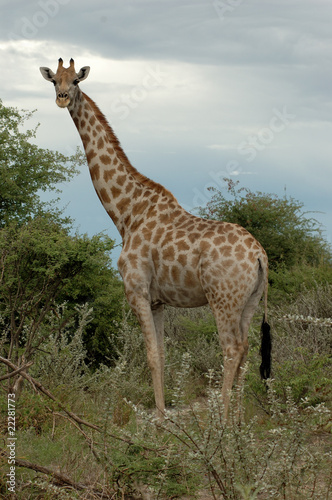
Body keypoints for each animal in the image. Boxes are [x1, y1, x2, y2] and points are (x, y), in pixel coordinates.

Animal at [40, 57, 272, 418]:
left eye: (76, 80)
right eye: (54, 81)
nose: (62, 98)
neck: (125, 213)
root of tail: (260, 255)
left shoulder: (136, 290)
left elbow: (149, 355)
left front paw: (159, 418)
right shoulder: (158, 299)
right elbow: (162, 355)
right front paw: (163, 413)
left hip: (222, 298)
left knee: (232, 348)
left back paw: (222, 421)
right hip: (249, 300)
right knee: (247, 349)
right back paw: (239, 420)